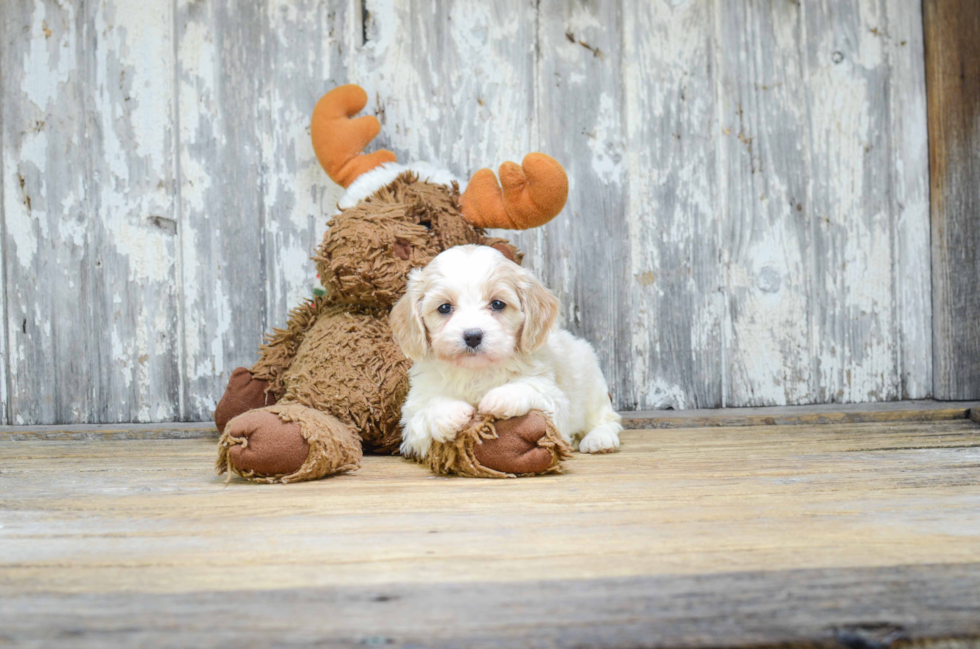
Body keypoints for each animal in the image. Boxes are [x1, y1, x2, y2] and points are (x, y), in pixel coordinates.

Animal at [388, 244, 620, 460]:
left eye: (498, 304)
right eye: (444, 308)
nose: (472, 335)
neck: (476, 371)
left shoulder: (554, 401)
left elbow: (529, 388)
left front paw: (499, 397)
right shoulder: (411, 423)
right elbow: (425, 411)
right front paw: (449, 412)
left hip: (592, 384)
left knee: (606, 418)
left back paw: (600, 439)